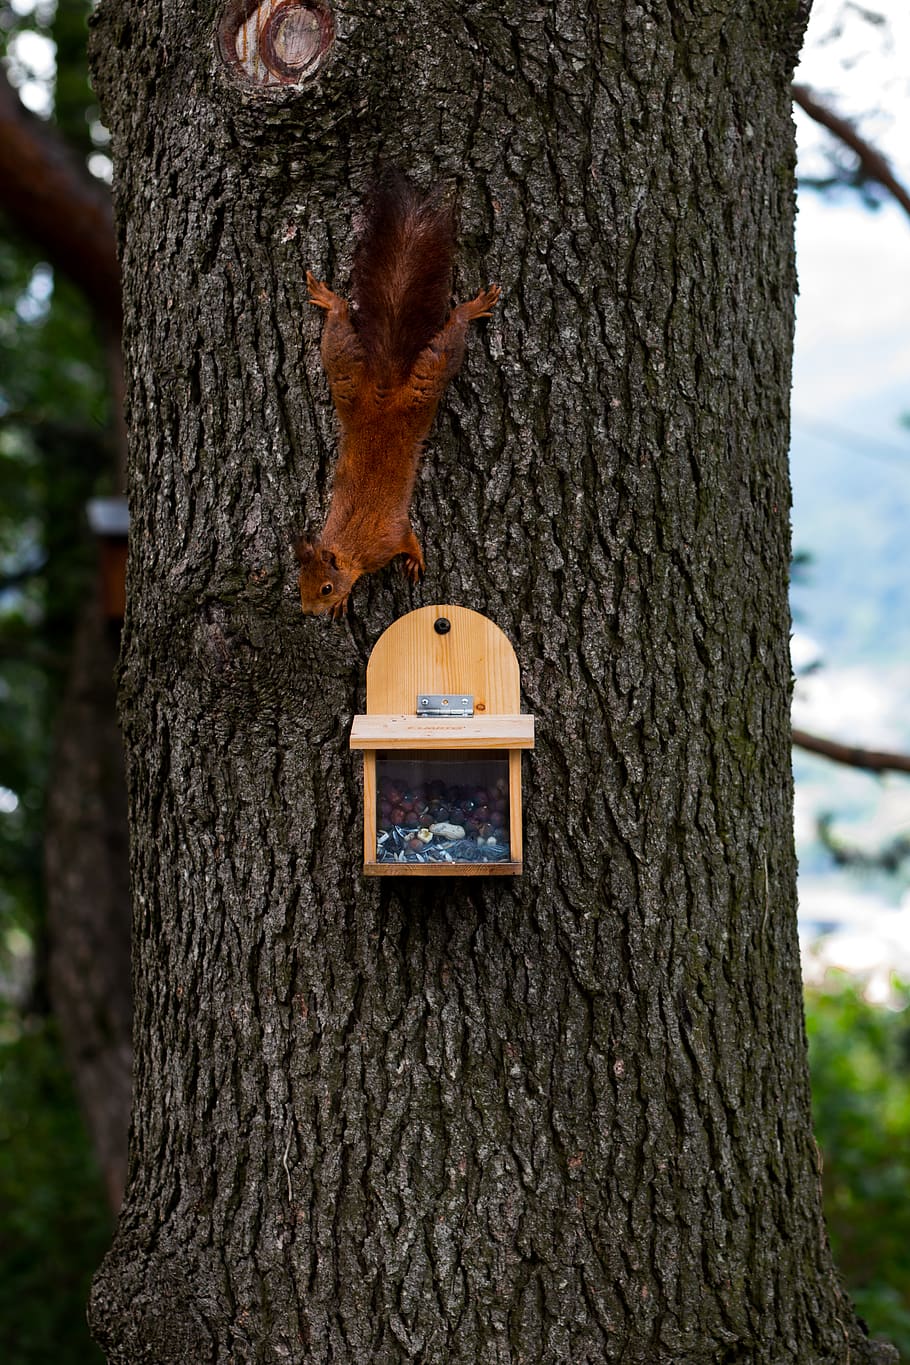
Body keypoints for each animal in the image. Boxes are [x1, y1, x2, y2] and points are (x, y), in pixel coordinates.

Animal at [296, 171, 500, 617]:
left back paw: (471, 308)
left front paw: (417, 559)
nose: (308, 612)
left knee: (448, 343)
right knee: (340, 327)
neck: (350, 547)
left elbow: (408, 537)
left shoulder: (388, 537)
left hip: (423, 383)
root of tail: (385, 395)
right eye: (300, 585)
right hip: (347, 377)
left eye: (325, 587)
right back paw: (329, 300)